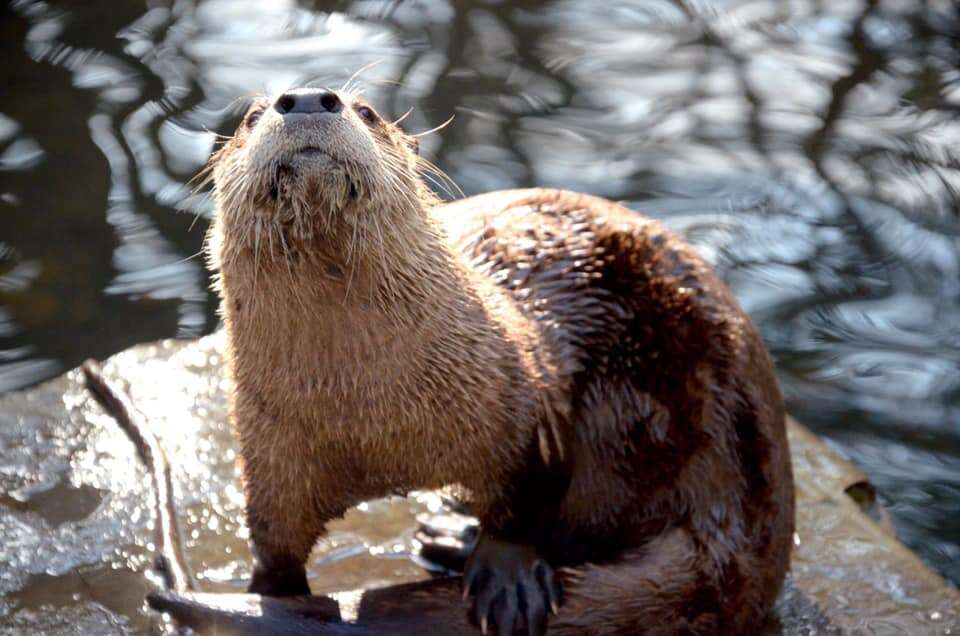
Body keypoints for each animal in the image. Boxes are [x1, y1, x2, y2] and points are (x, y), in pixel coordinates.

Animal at [204, 86, 794, 635]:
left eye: (367, 111)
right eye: (251, 117)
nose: (306, 98)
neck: (367, 414)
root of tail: (734, 517)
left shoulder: (528, 398)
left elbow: (523, 499)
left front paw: (508, 578)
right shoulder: (268, 456)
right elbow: (274, 545)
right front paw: (268, 595)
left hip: (642, 408)